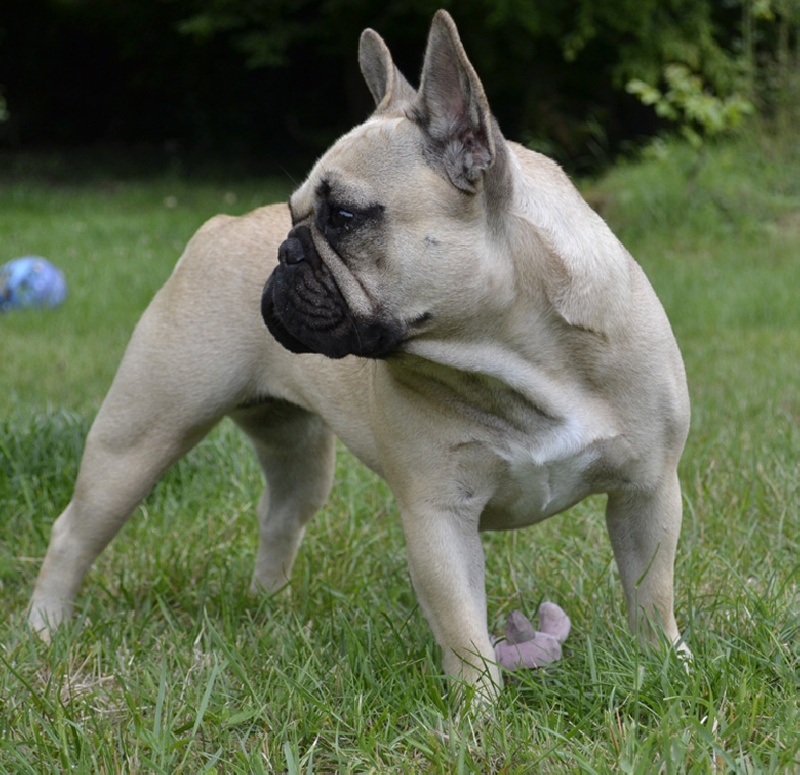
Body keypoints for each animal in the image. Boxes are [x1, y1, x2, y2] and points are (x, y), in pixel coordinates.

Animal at [28, 10, 690, 701]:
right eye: (294, 215)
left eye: (344, 217)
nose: (286, 252)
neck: (517, 357)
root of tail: (221, 225)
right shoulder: (438, 517)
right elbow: (464, 629)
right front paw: (479, 710)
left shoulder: (648, 491)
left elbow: (652, 590)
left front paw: (665, 667)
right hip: (139, 438)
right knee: (74, 532)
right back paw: (46, 629)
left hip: (294, 454)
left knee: (280, 516)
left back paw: (269, 609)